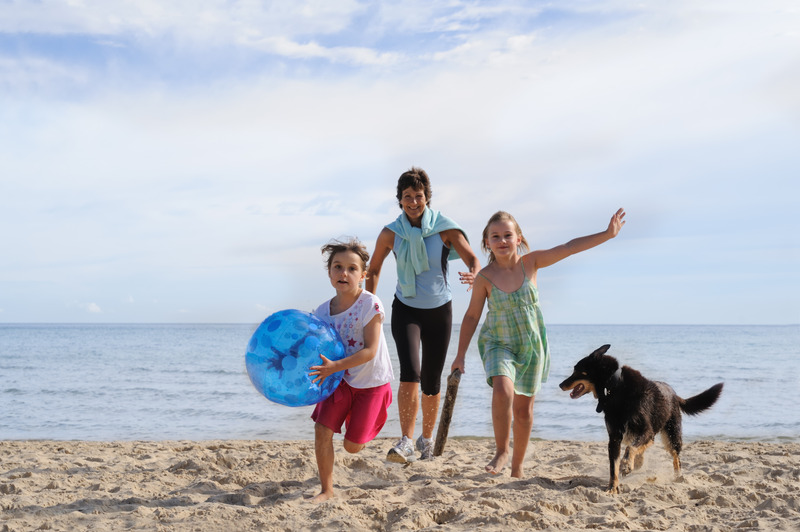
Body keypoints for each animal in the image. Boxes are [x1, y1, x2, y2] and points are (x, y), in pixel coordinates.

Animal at [560, 344, 720, 494]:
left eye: (577, 370)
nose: (560, 385)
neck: (614, 386)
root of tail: (675, 395)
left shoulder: (646, 430)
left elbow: (630, 448)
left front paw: (626, 465)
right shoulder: (614, 438)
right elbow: (614, 467)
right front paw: (613, 487)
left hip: (672, 435)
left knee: (676, 458)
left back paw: (677, 477)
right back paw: (638, 462)